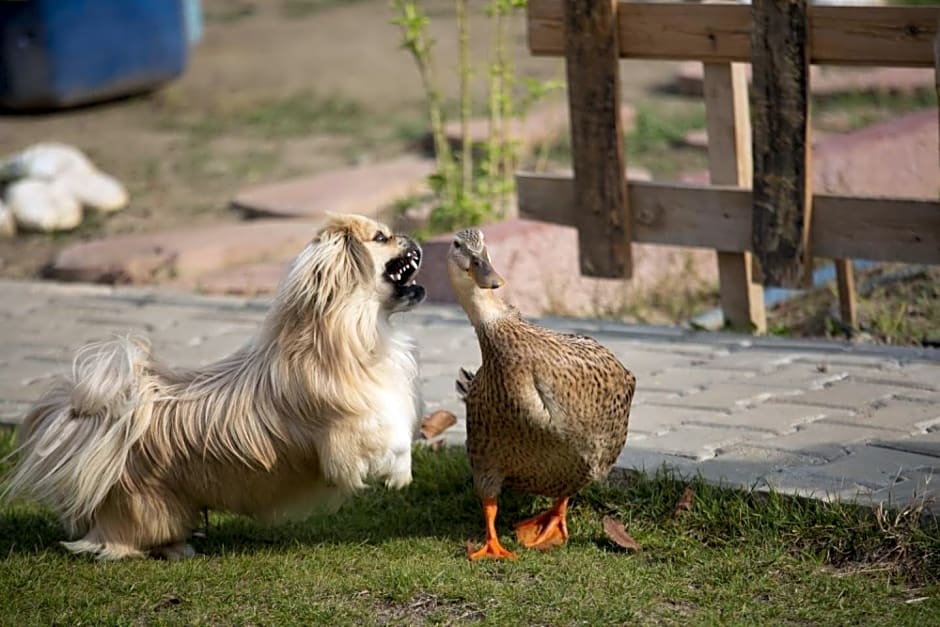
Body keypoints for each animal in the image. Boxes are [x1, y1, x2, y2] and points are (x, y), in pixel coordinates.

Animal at [2, 215, 426, 560]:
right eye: (382, 237)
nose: (413, 236)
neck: (355, 333)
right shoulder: (347, 436)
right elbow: (390, 439)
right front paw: (398, 475)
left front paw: (403, 471)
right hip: (151, 509)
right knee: (114, 543)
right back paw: (169, 549)